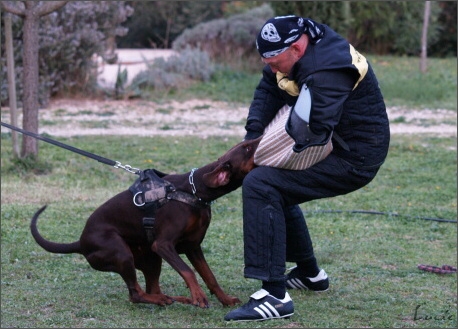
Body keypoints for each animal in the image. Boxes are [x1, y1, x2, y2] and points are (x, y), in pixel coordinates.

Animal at [31, 136, 262, 308]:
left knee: (152, 289)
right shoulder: (163, 244)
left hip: (151, 258)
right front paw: (198, 296)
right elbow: (188, 271)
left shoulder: (193, 246)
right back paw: (166, 300)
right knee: (136, 294)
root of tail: (81, 242)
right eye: (247, 148)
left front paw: (224, 300)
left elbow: (209, 276)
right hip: (122, 253)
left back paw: (173, 299)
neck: (193, 190)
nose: (261, 134)